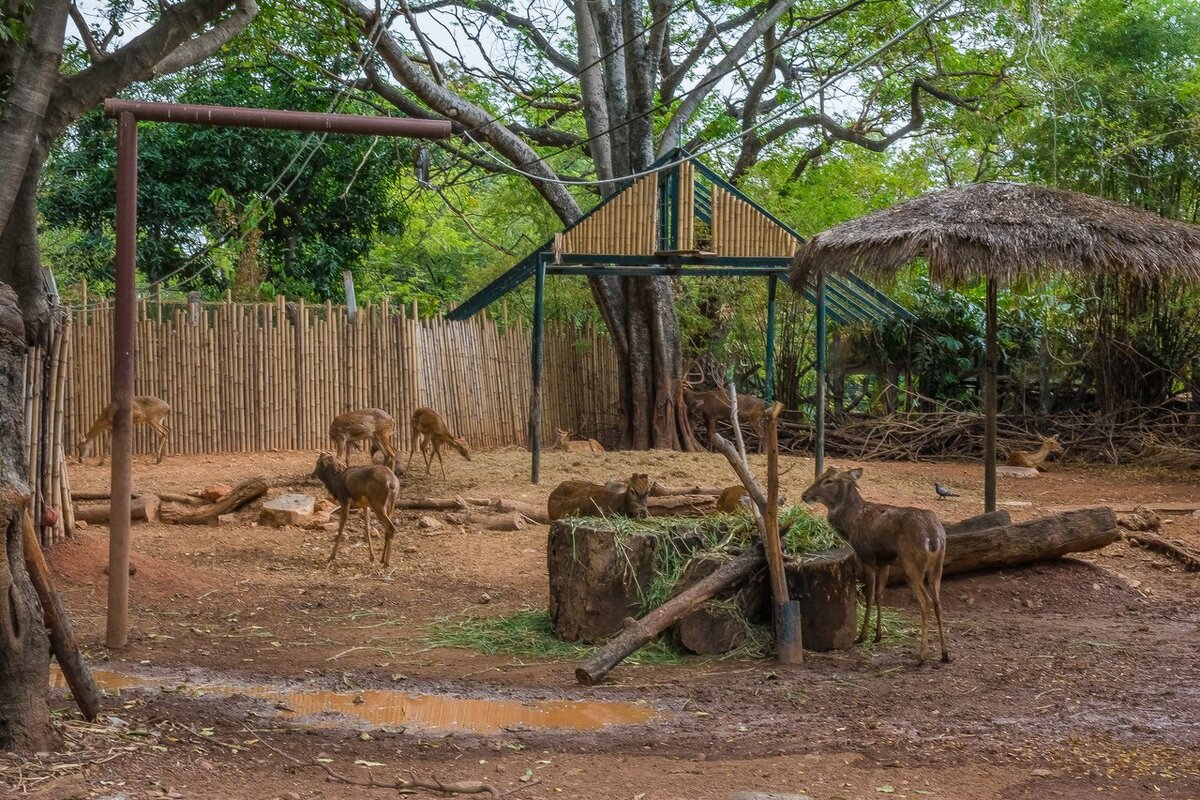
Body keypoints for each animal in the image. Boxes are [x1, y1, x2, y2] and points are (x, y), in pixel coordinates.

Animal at [801, 465, 950, 666]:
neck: (851, 525)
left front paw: (862, 636)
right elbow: (880, 595)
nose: (805, 495)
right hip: (937, 567)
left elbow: (869, 595)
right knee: (937, 603)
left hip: (911, 565)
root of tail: (933, 538)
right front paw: (878, 635)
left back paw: (921, 656)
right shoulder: (884, 562)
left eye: (828, 481)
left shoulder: (867, 556)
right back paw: (945, 654)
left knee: (925, 602)